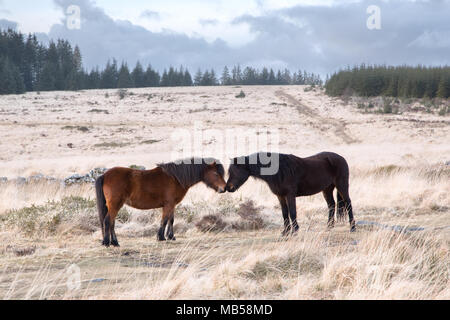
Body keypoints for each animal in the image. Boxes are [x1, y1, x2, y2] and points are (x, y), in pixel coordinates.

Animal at [96, 159, 227, 246]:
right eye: (216, 173)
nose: (224, 188)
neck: (175, 178)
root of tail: (105, 175)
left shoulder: (172, 205)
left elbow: (171, 220)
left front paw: (171, 236)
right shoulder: (168, 204)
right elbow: (164, 220)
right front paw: (161, 237)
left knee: (111, 222)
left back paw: (114, 242)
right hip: (115, 205)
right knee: (108, 221)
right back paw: (108, 242)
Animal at [227, 151, 356, 234]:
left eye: (234, 171)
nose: (228, 188)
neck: (280, 170)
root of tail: (341, 158)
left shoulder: (290, 195)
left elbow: (292, 212)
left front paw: (295, 231)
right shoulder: (280, 196)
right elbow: (285, 214)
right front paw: (285, 232)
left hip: (342, 185)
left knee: (348, 203)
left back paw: (352, 227)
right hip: (327, 189)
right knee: (331, 205)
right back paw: (329, 227)